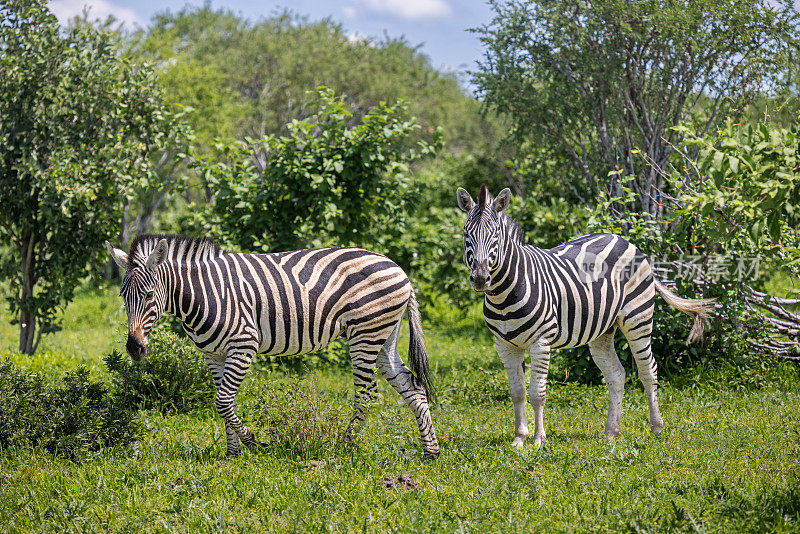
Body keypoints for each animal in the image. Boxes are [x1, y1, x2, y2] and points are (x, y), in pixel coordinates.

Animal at [104, 236, 440, 460]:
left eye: (149, 295)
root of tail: (400, 269)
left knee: (367, 394)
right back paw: (431, 452)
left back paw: (344, 447)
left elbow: (223, 401)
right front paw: (232, 454)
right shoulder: (214, 354)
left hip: (365, 333)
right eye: (122, 296)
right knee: (412, 386)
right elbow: (226, 401)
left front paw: (256, 444)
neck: (201, 293)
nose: (134, 348)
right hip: (385, 335)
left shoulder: (244, 343)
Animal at [456, 186, 712, 450]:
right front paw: (519, 438)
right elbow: (517, 392)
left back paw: (656, 427)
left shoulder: (541, 342)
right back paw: (612, 431)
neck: (504, 294)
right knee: (616, 375)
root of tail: (625, 240)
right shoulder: (504, 345)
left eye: (495, 234)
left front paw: (538, 439)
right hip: (602, 330)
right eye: (466, 233)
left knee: (648, 370)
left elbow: (537, 393)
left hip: (638, 318)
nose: (480, 278)